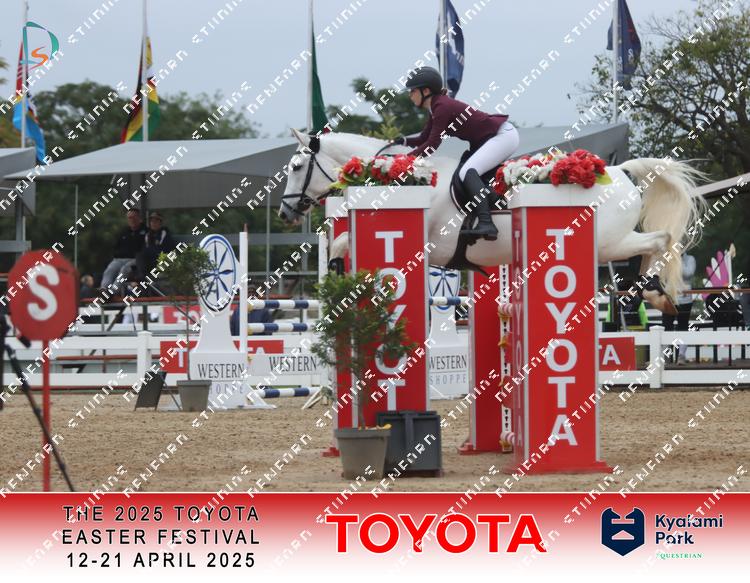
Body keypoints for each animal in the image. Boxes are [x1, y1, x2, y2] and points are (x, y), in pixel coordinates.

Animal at [279, 128, 707, 313]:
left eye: (297, 167)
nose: (285, 212)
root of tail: (620, 171)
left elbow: (344, 243)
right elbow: (340, 243)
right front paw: (336, 274)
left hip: (608, 244)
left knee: (660, 240)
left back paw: (655, 291)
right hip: (611, 243)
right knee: (656, 243)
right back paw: (653, 292)